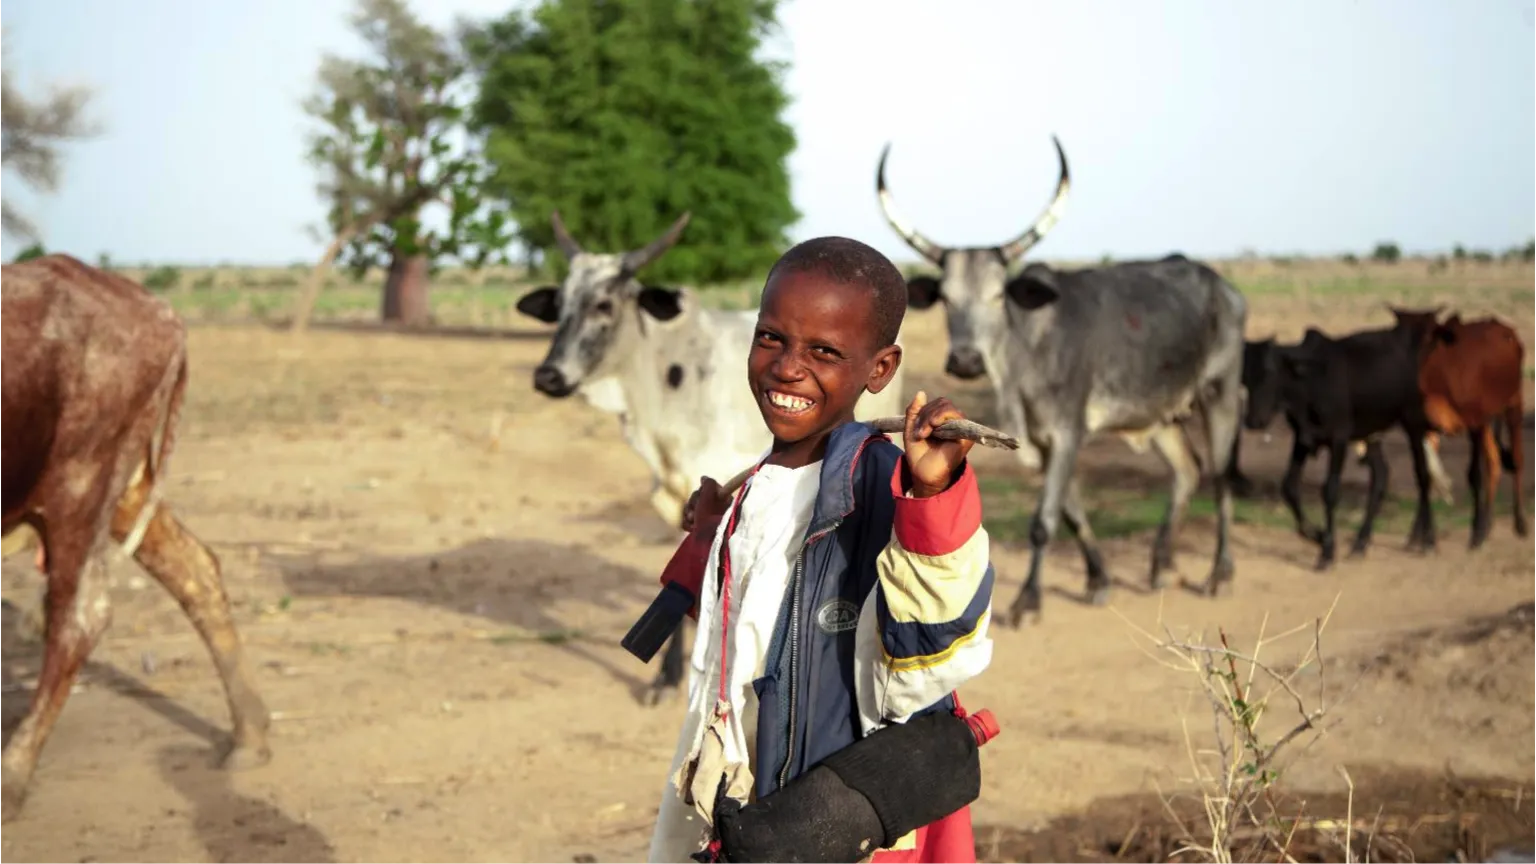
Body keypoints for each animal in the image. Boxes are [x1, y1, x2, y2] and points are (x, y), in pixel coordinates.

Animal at [0, 252, 270, 817]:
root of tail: (160, 313)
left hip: (80, 485)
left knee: (81, 618)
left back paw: (9, 779)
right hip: (125, 488)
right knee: (195, 569)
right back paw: (249, 738)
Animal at [878, 141, 1247, 624]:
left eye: (997, 295)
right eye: (946, 298)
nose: (966, 360)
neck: (1027, 351)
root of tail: (1224, 288)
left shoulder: (1068, 430)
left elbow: (1044, 520)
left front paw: (1028, 600)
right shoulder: (1042, 439)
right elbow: (1070, 511)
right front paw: (1098, 580)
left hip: (1220, 393)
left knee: (1221, 478)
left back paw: (1220, 574)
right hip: (1161, 414)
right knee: (1187, 472)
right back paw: (1162, 566)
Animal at [1394, 302, 1523, 544]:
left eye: (1428, 339)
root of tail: (1506, 330)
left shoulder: (1473, 423)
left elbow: (1474, 474)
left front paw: (1476, 531)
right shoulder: (1425, 427)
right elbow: (1427, 473)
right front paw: (1418, 534)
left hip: (1513, 405)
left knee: (1514, 459)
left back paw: (1518, 524)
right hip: (1489, 421)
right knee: (1494, 461)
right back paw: (1488, 524)